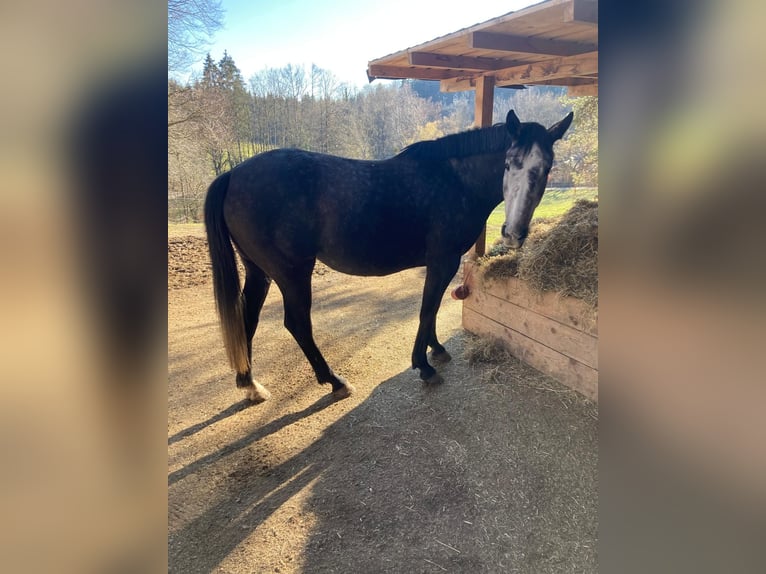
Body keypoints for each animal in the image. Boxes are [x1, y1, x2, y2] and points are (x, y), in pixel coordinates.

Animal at [204, 109, 573, 402]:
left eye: (546, 168)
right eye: (509, 164)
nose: (514, 233)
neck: (453, 179)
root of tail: (233, 174)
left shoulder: (439, 264)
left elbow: (432, 308)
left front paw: (436, 349)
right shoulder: (443, 260)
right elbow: (427, 309)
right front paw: (424, 366)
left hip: (260, 271)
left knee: (247, 317)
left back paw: (250, 384)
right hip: (292, 272)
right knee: (297, 324)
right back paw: (334, 381)